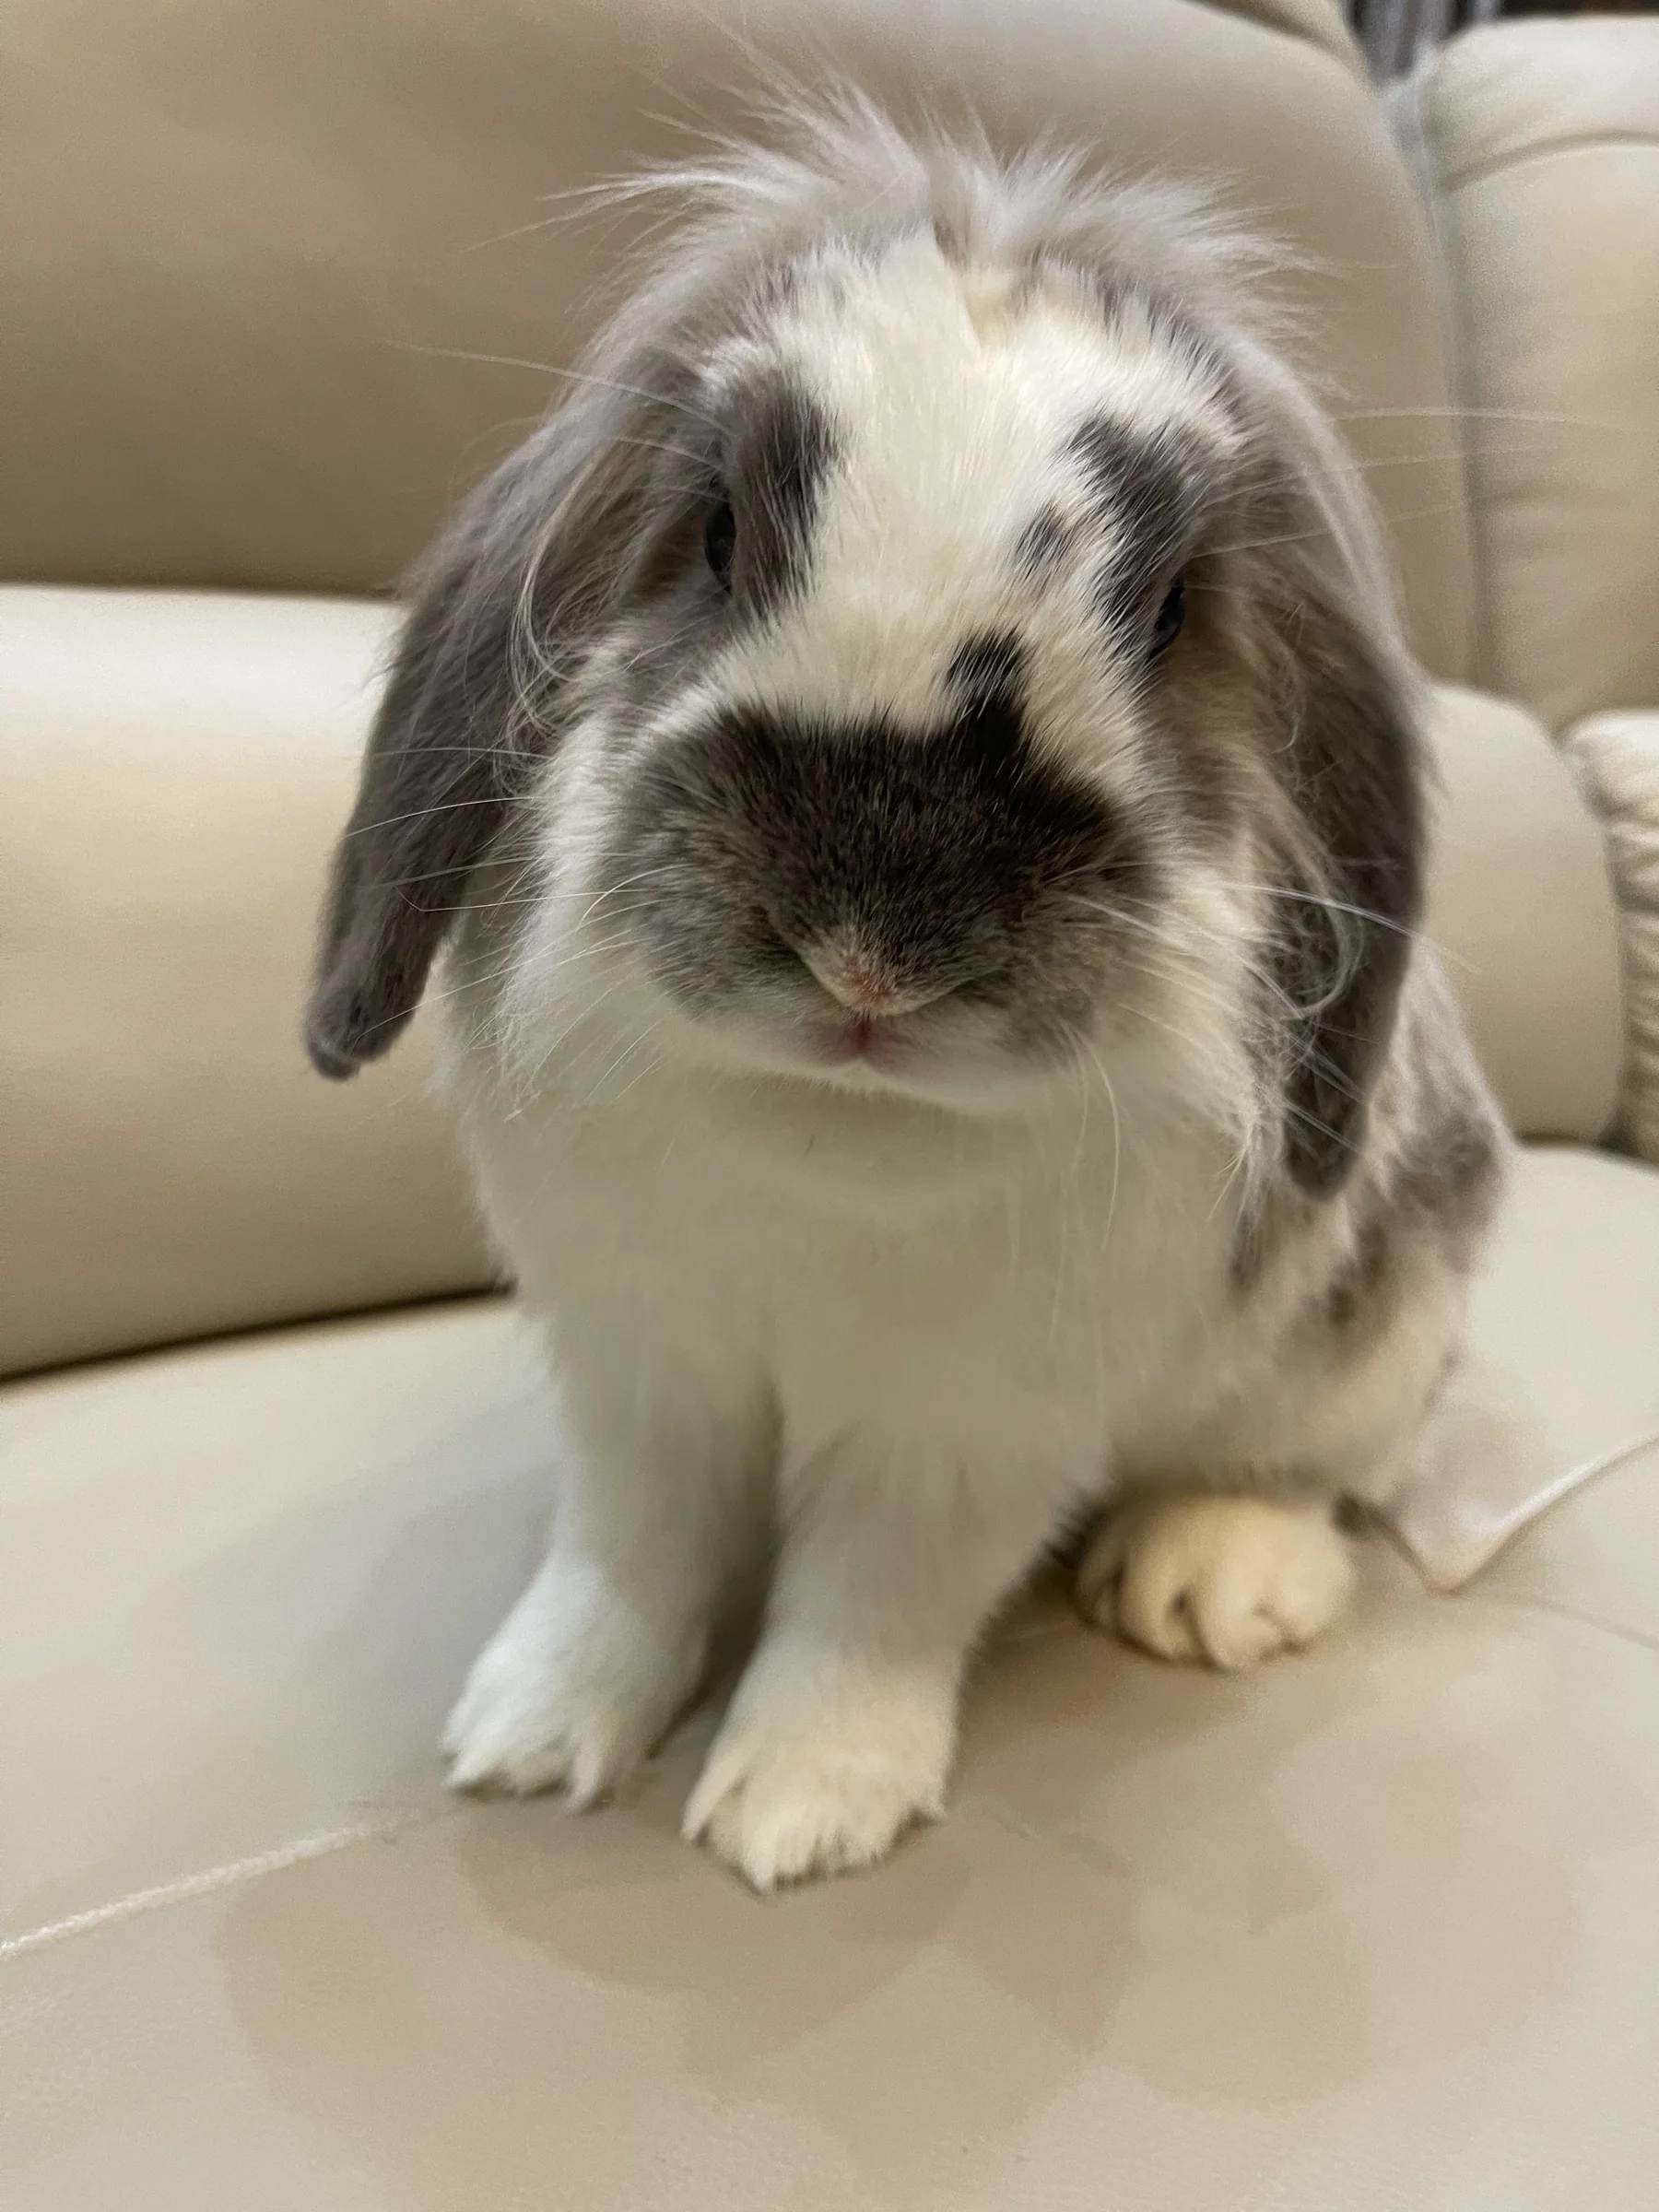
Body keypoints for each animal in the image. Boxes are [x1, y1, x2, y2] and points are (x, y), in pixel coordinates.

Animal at [306, 99, 1507, 1890]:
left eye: (1169, 608)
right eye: (718, 529)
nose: (871, 943)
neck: (830, 1122)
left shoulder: (962, 1430)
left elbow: (870, 1606)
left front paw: (798, 1811)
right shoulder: (639, 1370)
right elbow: (628, 1562)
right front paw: (529, 1736)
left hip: (1375, 1329)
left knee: (1321, 1471)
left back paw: (1210, 1580)